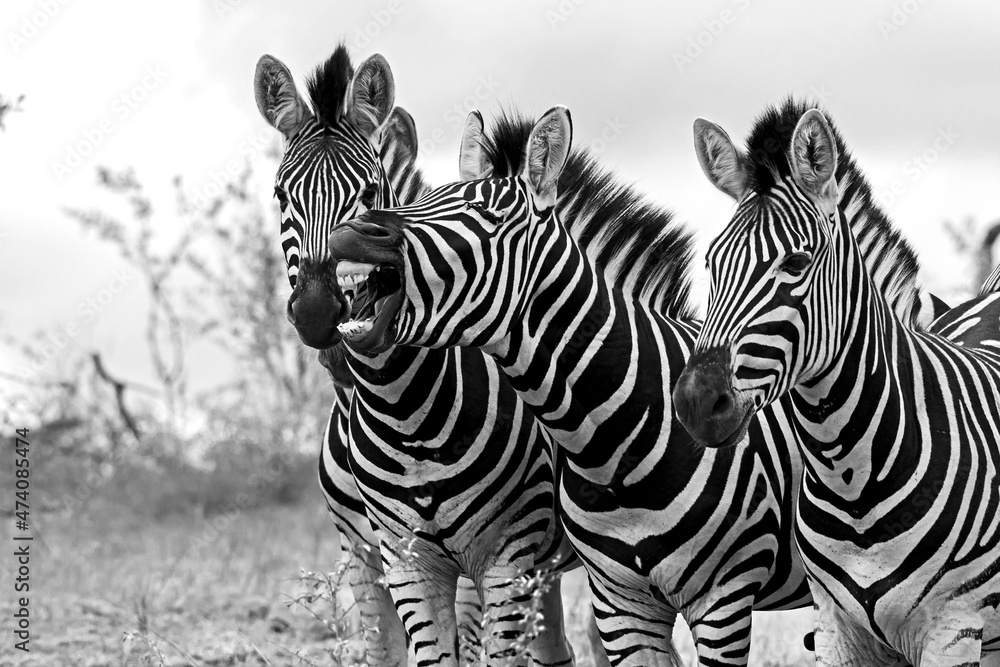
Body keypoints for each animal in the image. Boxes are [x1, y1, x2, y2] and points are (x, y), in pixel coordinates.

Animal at [254, 47, 586, 667]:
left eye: (371, 196)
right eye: (282, 196)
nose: (317, 311)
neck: (401, 412)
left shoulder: (495, 556)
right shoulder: (372, 556)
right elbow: (387, 652)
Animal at [674, 99, 1000, 666]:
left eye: (797, 263)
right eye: (712, 263)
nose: (695, 402)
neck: (851, 478)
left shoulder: (955, 630)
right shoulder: (836, 630)